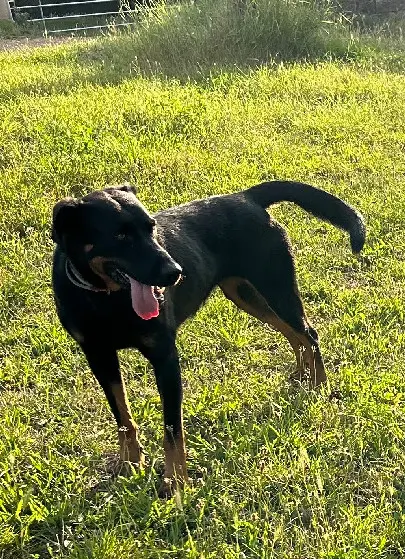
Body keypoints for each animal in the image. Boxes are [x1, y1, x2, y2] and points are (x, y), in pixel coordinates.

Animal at [52, 182, 364, 496]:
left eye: (151, 227)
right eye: (119, 235)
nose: (176, 272)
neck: (105, 299)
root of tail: (247, 196)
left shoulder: (165, 358)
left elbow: (172, 429)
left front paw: (175, 481)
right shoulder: (99, 356)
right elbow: (123, 416)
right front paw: (131, 462)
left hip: (276, 287)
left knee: (309, 333)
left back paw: (319, 384)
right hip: (246, 295)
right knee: (294, 334)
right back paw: (302, 373)